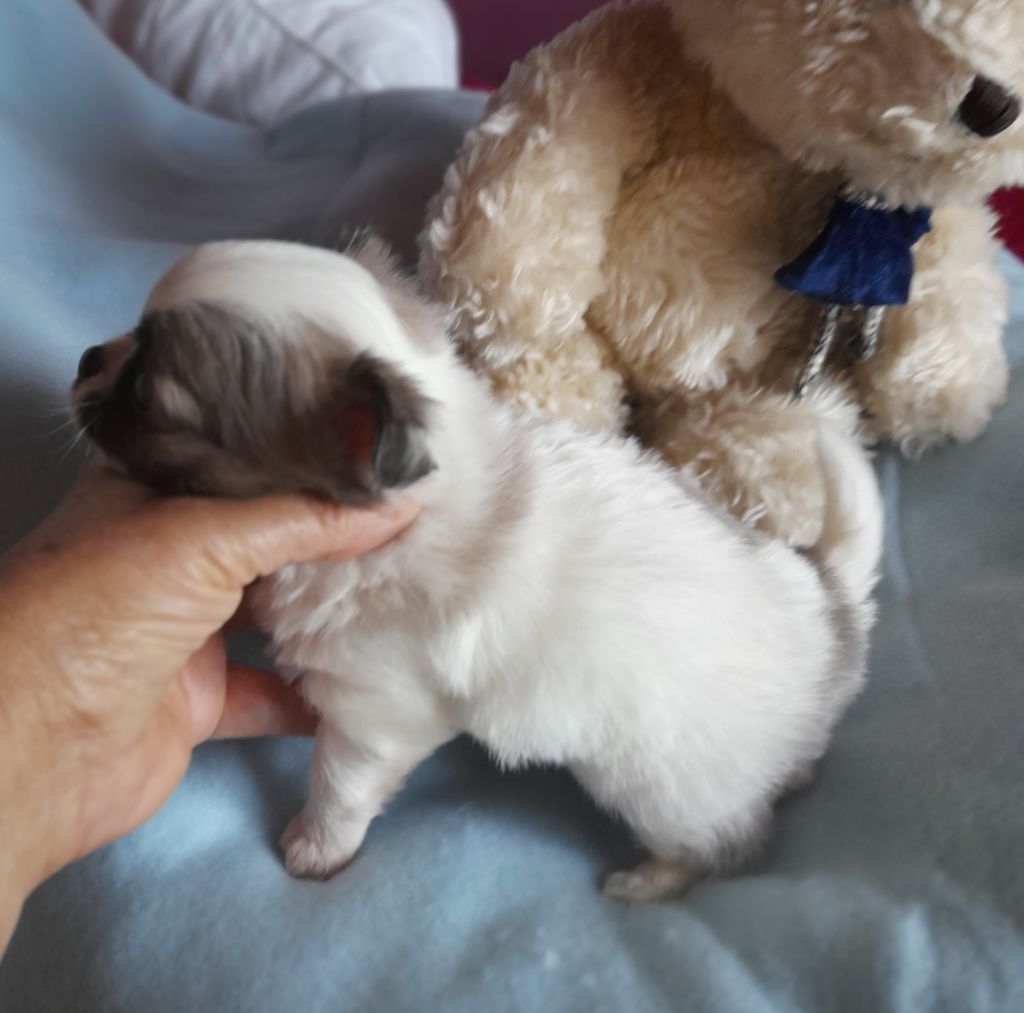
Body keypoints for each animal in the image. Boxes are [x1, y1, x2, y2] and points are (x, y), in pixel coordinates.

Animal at [72, 238, 884, 902]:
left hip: (671, 788)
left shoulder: (375, 709)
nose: (85, 358)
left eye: (146, 396)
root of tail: (830, 604)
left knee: (723, 845)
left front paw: (314, 846)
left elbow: (338, 782)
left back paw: (647, 881)